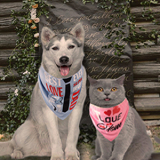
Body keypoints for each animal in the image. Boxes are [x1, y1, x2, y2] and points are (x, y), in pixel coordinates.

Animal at [0, 22, 86, 160]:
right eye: (55, 48)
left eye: (71, 46)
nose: (63, 59)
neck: (64, 81)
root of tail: (43, 151)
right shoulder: (48, 111)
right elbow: (55, 136)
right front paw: (57, 156)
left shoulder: (77, 110)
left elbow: (71, 136)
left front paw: (71, 154)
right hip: (23, 131)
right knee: (14, 145)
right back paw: (17, 153)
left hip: (78, 128)